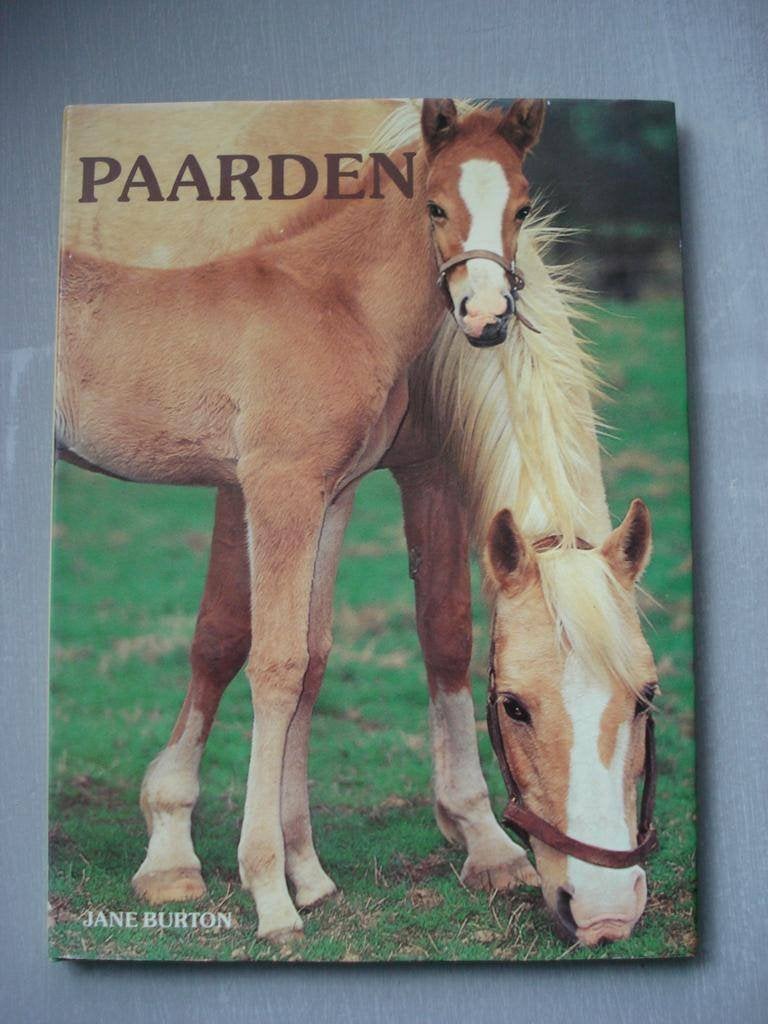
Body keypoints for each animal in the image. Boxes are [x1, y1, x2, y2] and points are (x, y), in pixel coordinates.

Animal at [55, 97, 549, 940]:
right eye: (435, 206)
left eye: (520, 207)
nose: (485, 318)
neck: (335, 300)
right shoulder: (279, 487)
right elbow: (276, 663)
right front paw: (270, 897)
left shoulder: (333, 493)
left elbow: (313, 659)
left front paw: (308, 876)